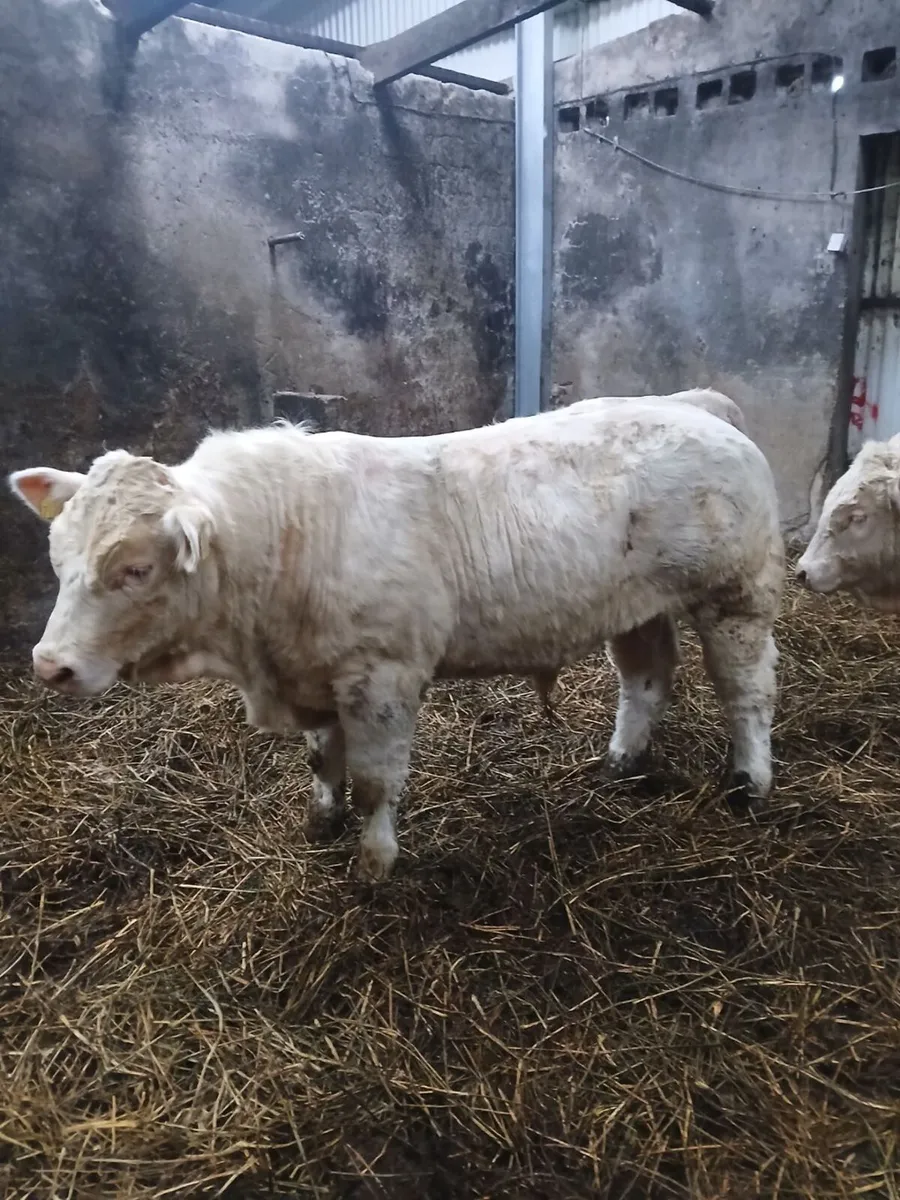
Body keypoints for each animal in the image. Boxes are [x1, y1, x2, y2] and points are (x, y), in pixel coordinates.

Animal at [9, 397, 784, 882]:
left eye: (136, 569)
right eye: (56, 554)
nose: (50, 665)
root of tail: (698, 405)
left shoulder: (381, 677)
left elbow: (377, 782)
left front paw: (375, 861)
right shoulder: (315, 674)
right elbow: (323, 761)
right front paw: (321, 820)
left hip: (736, 596)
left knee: (745, 691)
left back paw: (748, 782)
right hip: (635, 606)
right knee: (646, 676)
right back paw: (622, 761)